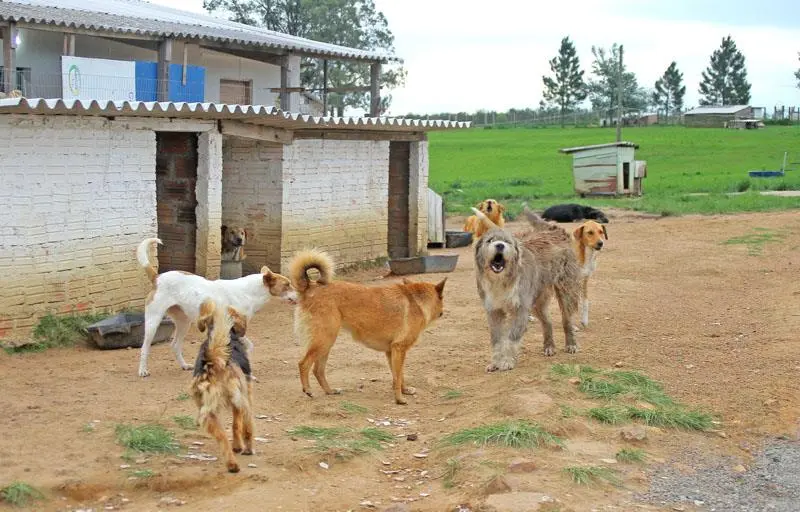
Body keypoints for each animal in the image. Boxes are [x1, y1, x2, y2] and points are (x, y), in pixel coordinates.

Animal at [134, 238, 296, 378]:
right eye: (287, 284)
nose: (299, 295)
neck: (248, 292)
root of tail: (157, 277)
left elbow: (247, 346)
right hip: (153, 322)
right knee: (145, 348)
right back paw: (143, 370)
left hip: (183, 323)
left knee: (175, 345)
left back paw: (184, 365)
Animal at [290, 250, 450, 406]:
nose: (443, 312)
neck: (416, 300)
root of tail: (310, 287)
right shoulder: (399, 349)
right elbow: (398, 377)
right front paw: (400, 399)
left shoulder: (392, 352)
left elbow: (398, 376)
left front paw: (404, 390)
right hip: (324, 341)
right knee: (303, 364)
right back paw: (308, 390)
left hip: (326, 344)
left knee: (318, 370)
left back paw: (330, 391)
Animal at [472, 207, 580, 372]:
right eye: (489, 240)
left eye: (507, 242)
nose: (500, 245)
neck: (502, 280)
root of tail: (555, 230)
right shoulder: (494, 311)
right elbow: (497, 340)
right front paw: (495, 363)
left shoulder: (521, 309)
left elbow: (512, 338)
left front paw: (507, 361)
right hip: (537, 301)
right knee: (547, 322)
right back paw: (549, 347)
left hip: (565, 291)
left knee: (566, 320)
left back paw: (571, 345)